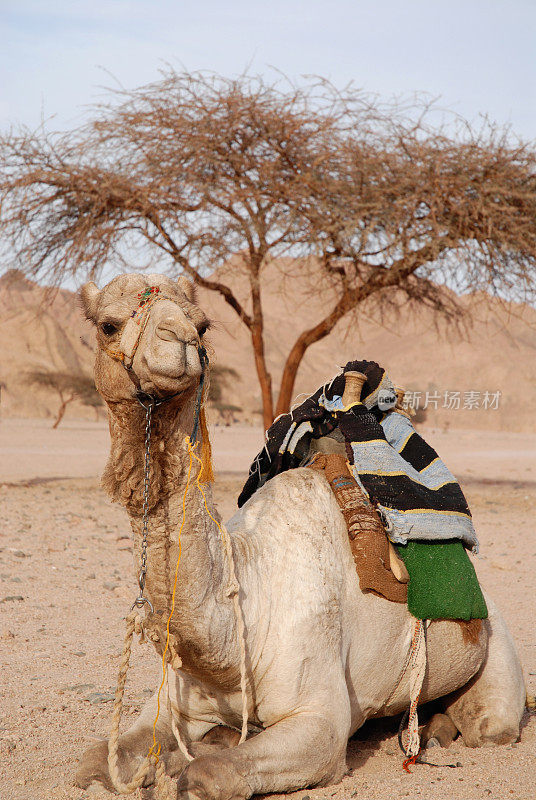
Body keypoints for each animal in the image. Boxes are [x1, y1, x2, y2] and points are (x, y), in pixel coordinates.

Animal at [76, 272, 528, 796]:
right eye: (108, 325)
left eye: (202, 324)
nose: (179, 340)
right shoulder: (172, 701)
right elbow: (93, 761)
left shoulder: (318, 720)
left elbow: (209, 774)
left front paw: (192, 764)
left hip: (495, 656)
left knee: (488, 724)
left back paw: (433, 733)